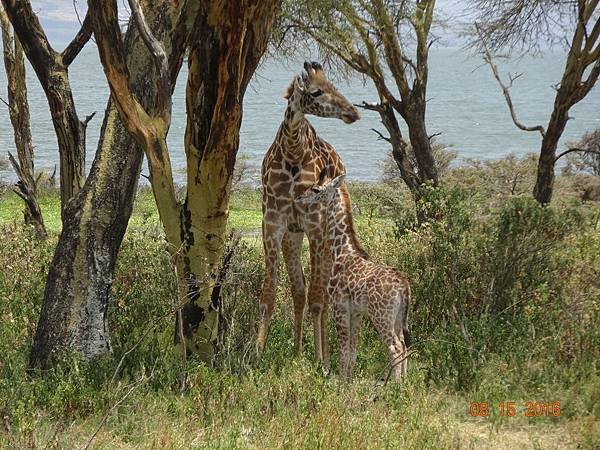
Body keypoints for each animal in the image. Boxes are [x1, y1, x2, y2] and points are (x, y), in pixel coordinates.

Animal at [258, 60, 366, 362]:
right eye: (317, 91)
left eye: (333, 85)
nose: (353, 112)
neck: (293, 152)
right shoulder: (274, 225)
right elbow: (269, 295)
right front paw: (256, 353)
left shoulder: (315, 226)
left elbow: (318, 299)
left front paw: (320, 359)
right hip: (293, 237)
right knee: (300, 290)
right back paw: (296, 351)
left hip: (327, 236)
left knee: (324, 294)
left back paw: (326, 355)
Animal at [296, 174, 412, 382]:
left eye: (316, 189)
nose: (300, 198)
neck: (341, 250)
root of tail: (404, 286)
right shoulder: (357, 312)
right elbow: (353, 351)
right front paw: (348, 383)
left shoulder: (339, 306)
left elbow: (343, 352)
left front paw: (341, 384)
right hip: (399, 317)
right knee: (404, 345)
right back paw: (406, 383)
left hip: (381, 316)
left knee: (396, 348)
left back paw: (396, 386)